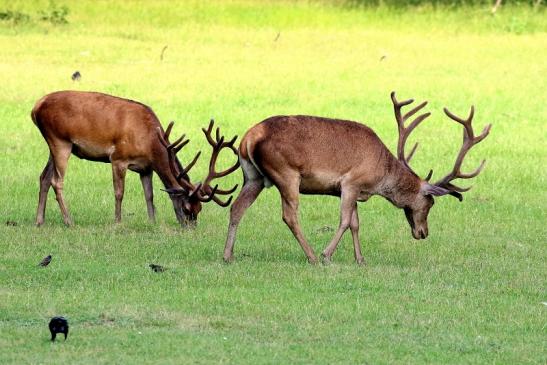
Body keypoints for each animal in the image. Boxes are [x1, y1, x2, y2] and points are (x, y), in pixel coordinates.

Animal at [31, 90, 239, 225]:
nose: (190, 228)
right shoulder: (118, 158)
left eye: (199, 209)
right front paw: (118, 222)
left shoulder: (146, 168)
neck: (150, 143)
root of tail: (35, 108)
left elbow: (149, 195)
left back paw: (40, 220)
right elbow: (119, 193)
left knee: (44, 177)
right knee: (56, 181)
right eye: (187, 208)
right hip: (60, 140)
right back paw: (69, 221)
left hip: (54, 144)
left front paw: (152, 222)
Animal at [223, 92, 492, 264]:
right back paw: (312, 256)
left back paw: (228, 255)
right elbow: (344, 221)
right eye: (430, 203)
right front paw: (327, 255)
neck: (379, 177)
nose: (423, 233)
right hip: (286, 173)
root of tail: (248, 139)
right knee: (289, 215)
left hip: (253, 176)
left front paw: (360, 259)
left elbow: (355, 223)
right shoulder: (350, 183)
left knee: (237, 207)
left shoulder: (352, 190)